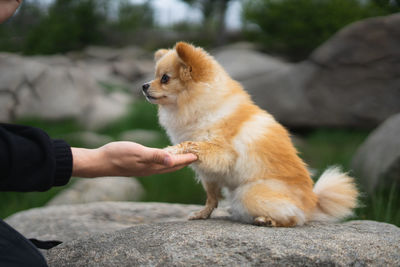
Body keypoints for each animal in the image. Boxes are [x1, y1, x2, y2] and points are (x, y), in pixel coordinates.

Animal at [142, 42, 358, 228]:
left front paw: (171, 150)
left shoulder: (220, 153)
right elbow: (211, 197)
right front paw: (203, 213)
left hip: (248, 193)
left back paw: (268, 220)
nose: (144, 85)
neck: (198, 106)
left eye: (165, 78)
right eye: (155, 76)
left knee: (295, 218)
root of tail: (312, 202)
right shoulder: (209, 172)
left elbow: (190, 144)